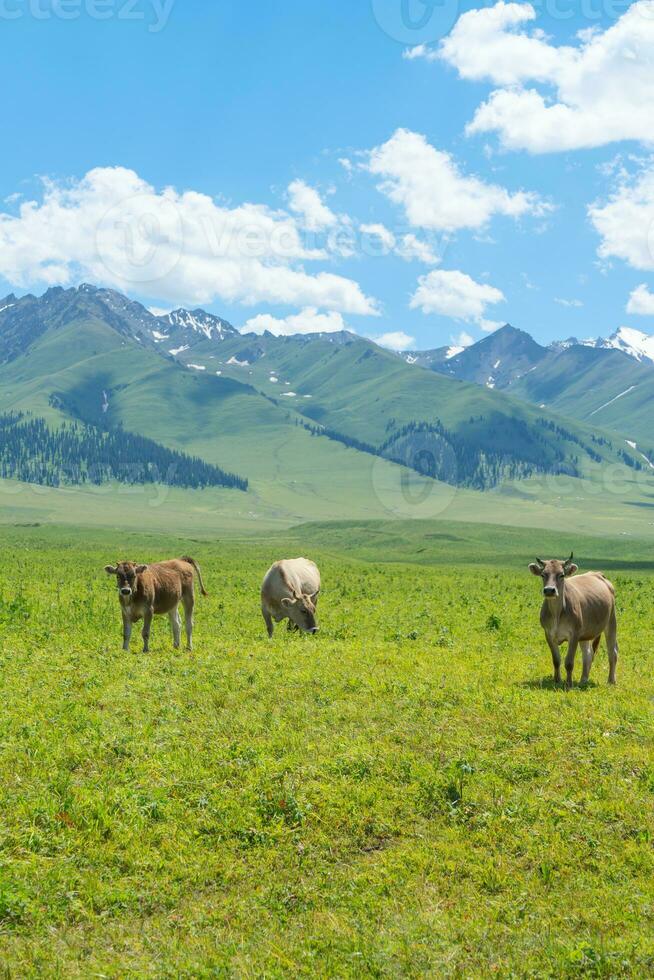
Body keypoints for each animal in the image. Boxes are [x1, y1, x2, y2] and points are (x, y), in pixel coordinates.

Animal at [528, 552, 620, 688]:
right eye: (543, 574)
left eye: (561, 575)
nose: (549, 590)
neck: (557, 613)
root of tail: (598, 574)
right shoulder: (549, 634)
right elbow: (556, 660)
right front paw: (557, 680)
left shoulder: (574, 634)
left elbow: (569, 662)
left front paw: (568, 684)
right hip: (586, 633)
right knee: (588, 654)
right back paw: (583, 680)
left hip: (611, 622)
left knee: (612, 652)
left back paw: (611, 680)